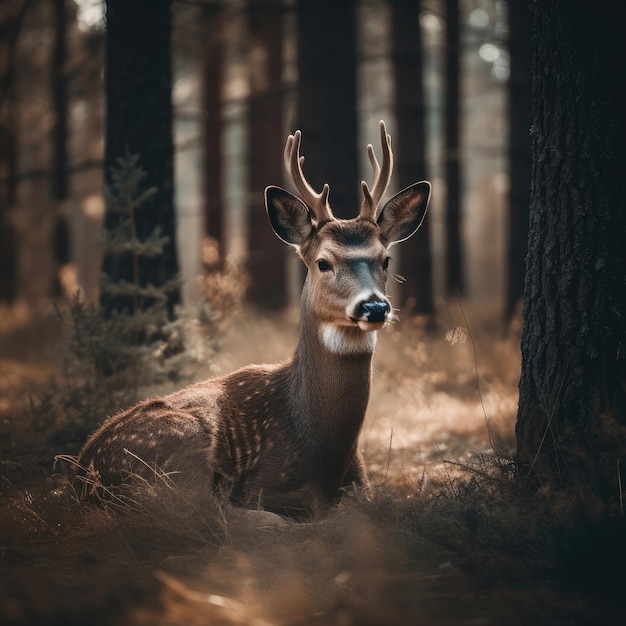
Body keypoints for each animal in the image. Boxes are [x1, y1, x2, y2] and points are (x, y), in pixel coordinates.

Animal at [70, 119, 426, 516]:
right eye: (323, 262)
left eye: (386, 259)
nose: (375, 307)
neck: (324, 448)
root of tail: (80, 475)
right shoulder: (267, 486)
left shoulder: (364, 486)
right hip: (179, 451)